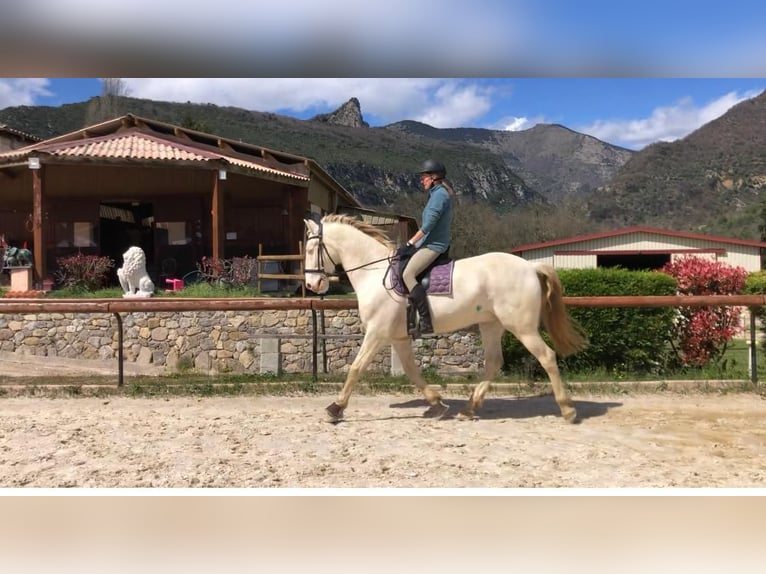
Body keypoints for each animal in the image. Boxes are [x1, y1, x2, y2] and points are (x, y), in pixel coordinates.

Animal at [306, 214, 588, 426]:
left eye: (310, 249)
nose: (312, 285)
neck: (374, 273)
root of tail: (531, 267)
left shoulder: (377, 333)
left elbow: (356, 368)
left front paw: (335, 409)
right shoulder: (398, 337)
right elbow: (412, 371)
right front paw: (436, 404)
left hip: (522, 327)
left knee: (547, 357)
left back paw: (568, 410)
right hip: (491, 324)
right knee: (494, 362)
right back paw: (469, 408)